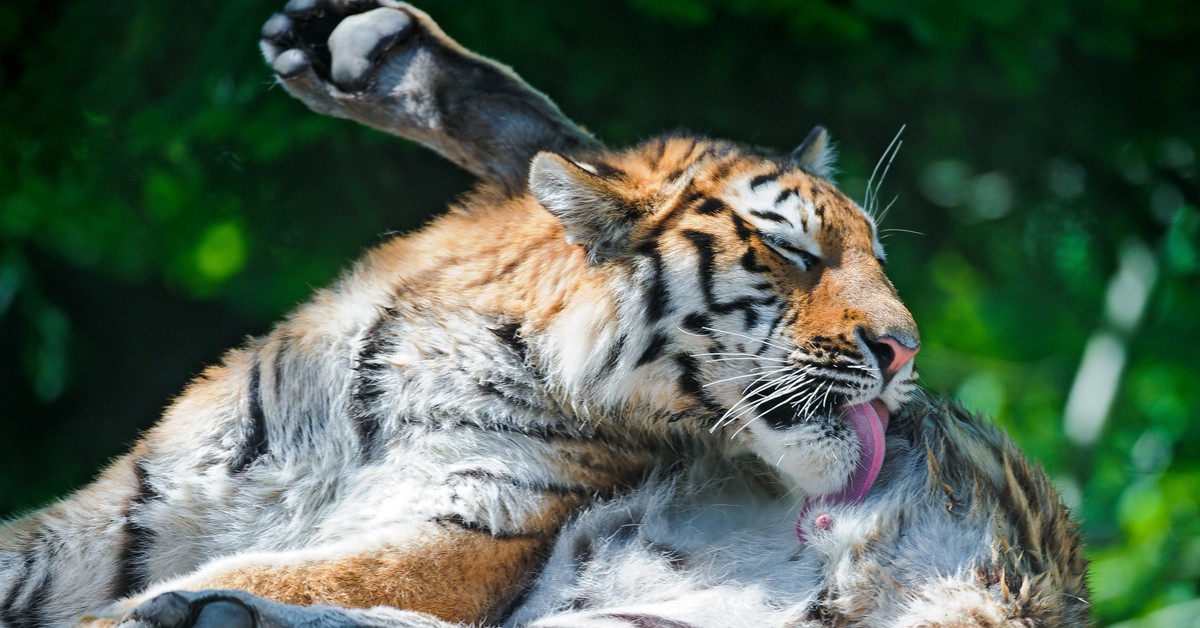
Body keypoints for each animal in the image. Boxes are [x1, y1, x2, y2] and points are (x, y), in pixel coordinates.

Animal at [0, 2, 1088, 626]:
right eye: (793, 250)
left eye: (877, 258)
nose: (907, 351)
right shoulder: (130, 512)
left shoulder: (462, 536)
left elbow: (300, 582)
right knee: (577, 150)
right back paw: (359, 47)